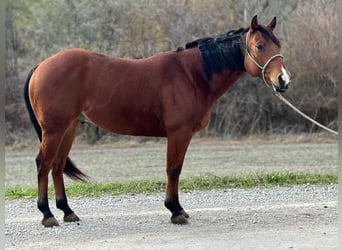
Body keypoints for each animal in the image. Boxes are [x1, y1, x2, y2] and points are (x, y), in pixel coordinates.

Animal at [24, 15, 292, 227]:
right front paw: (175, 211)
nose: (283, 80)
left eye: (278, 44)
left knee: (57, 165)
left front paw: (178, 208)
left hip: (68, 128)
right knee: (43, 164)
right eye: (259, 45)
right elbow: (173, 169)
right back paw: (47, 214)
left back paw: (67, 211)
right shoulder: (178, 133)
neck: (191, 75)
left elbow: (176, 169)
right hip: (54, 130)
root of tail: (41, 66)